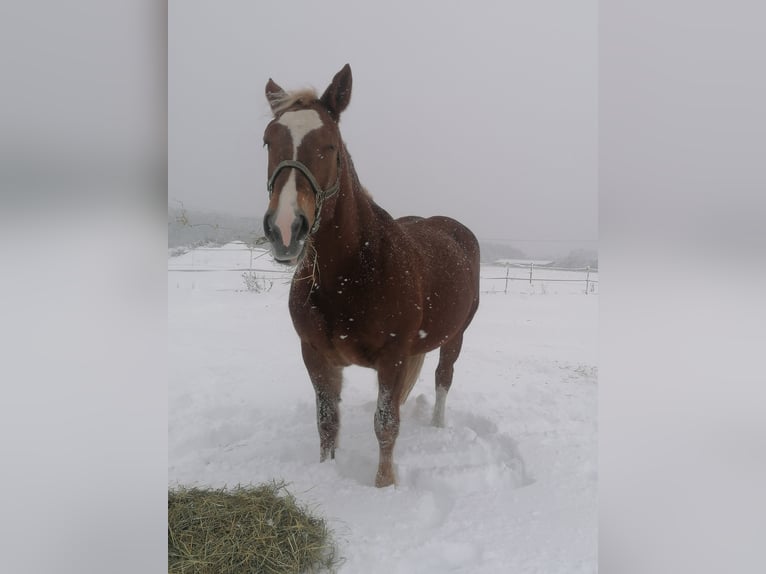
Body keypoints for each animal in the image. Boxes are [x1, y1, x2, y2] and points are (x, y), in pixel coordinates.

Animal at [264, 65, 480, 488]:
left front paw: (384, 485)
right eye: (267, 141)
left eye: (330, 145)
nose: (285, 229)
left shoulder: (392, 359)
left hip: (455, 336)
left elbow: (385, 424)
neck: (349, 275)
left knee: (443, 378)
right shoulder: (315, 356)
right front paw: (327, 474)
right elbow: (327, 422)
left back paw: (437, 426)